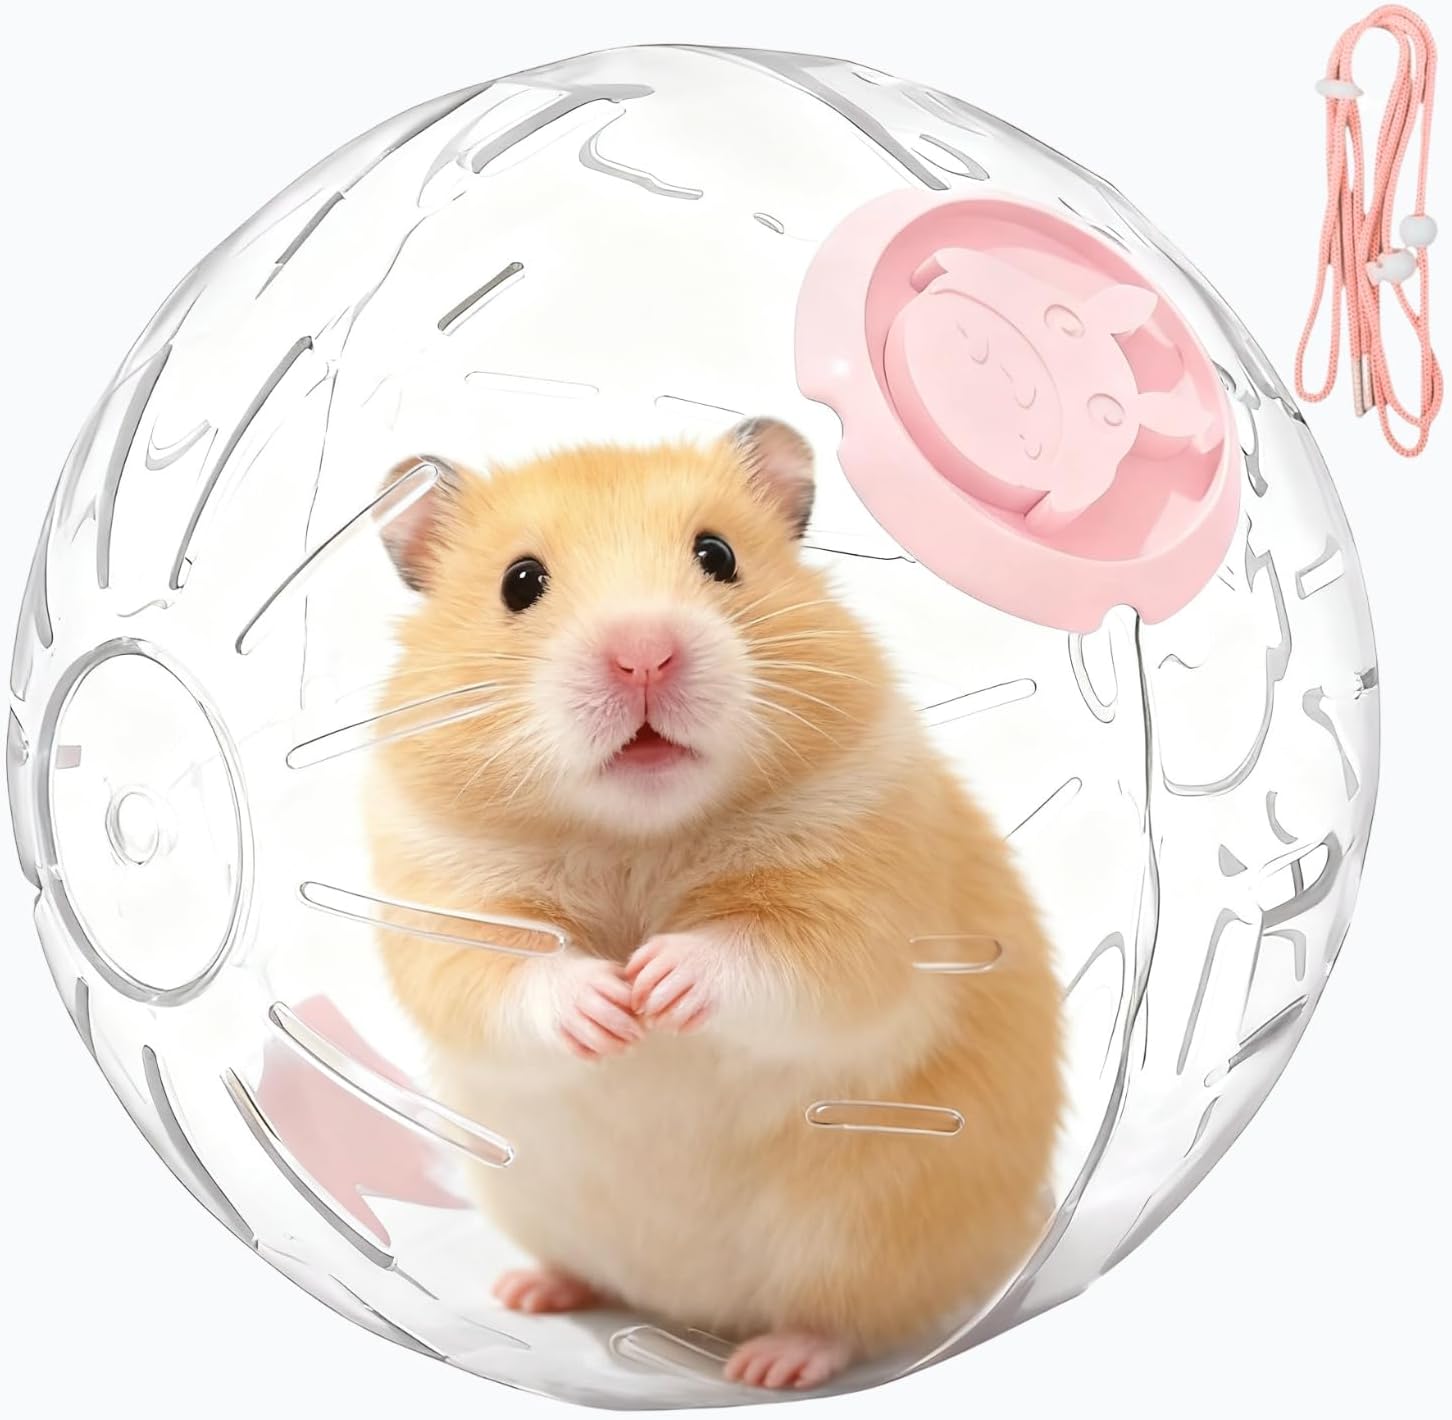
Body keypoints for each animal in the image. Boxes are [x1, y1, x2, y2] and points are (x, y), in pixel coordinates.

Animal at [366, 419, 1062, 1391]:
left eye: (718, 554)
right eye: (520, 582)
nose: (644, 653)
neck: (637, 839)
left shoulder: (860, 900)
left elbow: (781, 958)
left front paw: (657, 981)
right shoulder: (445, 905)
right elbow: (502, 979)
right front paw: (611, 1004)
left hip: (860, 1232)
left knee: (848, 1320)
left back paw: (769, 1366)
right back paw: (530, 1292)